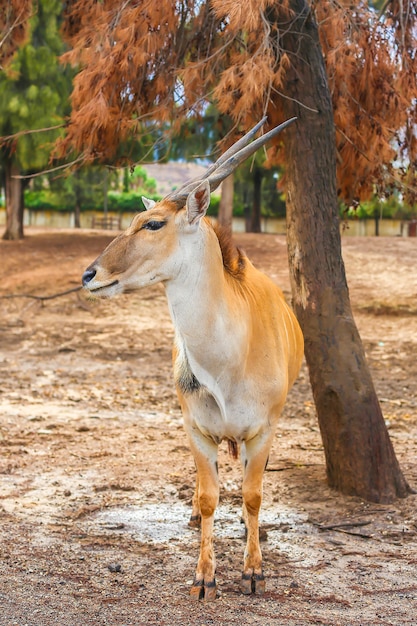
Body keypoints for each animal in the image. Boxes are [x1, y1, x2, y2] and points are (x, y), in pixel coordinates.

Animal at [82, 117, 302, 600]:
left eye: (153, 224)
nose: (90, 274)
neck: (230, 363)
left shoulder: (265, 429)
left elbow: (253, 494)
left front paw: (253, 571)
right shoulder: (196, 430)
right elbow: (207, 497)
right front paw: (204, 577)